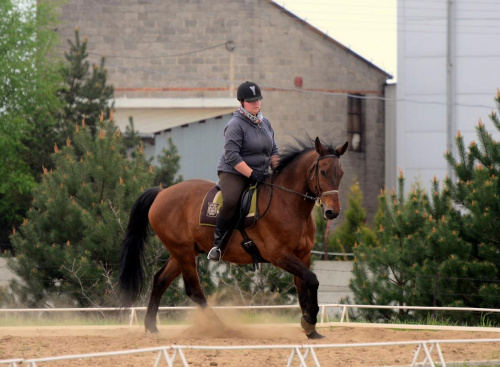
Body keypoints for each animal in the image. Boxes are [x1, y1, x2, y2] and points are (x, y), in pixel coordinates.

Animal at [117, 137, 348, 340]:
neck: (287, 202)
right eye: (323, 172)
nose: (332, 212)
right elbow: (312, 279)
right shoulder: (280, 256)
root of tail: (161, 193)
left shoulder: (303, 255)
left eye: (341, 173)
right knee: (194, 290)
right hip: (183, 252)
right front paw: (309, 321)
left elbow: (304, 287)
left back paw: (151, 327)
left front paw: (310, 329)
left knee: (160, 281)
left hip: (183, 252)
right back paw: (221, 327)